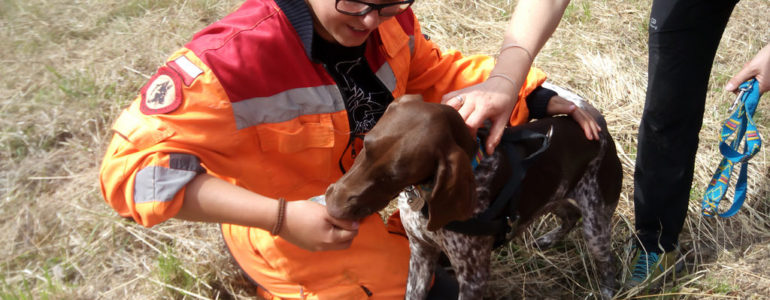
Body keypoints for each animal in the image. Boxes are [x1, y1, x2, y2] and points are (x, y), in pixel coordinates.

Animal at [322, 92, 616, 298]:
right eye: (365, 145)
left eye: (394, 177)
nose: (332, 207)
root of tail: (599, 125)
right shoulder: (420, 254)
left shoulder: (473, 278)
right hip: (555, 195)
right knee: (570, 214)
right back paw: (549, 238)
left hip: (596, 226)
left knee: (606, 259)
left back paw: (608, 290)